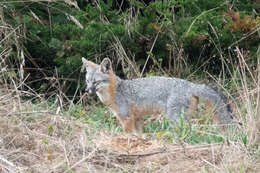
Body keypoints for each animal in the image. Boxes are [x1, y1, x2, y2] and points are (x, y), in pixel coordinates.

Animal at [82, 57, 235, 134]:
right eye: (88, 81)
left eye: (96, 82)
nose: (87, 91)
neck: (115, 91)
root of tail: (191, 84)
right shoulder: (137, 119)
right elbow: (140, 135)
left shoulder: (126, 118)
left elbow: (128, 135)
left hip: (174, 119)